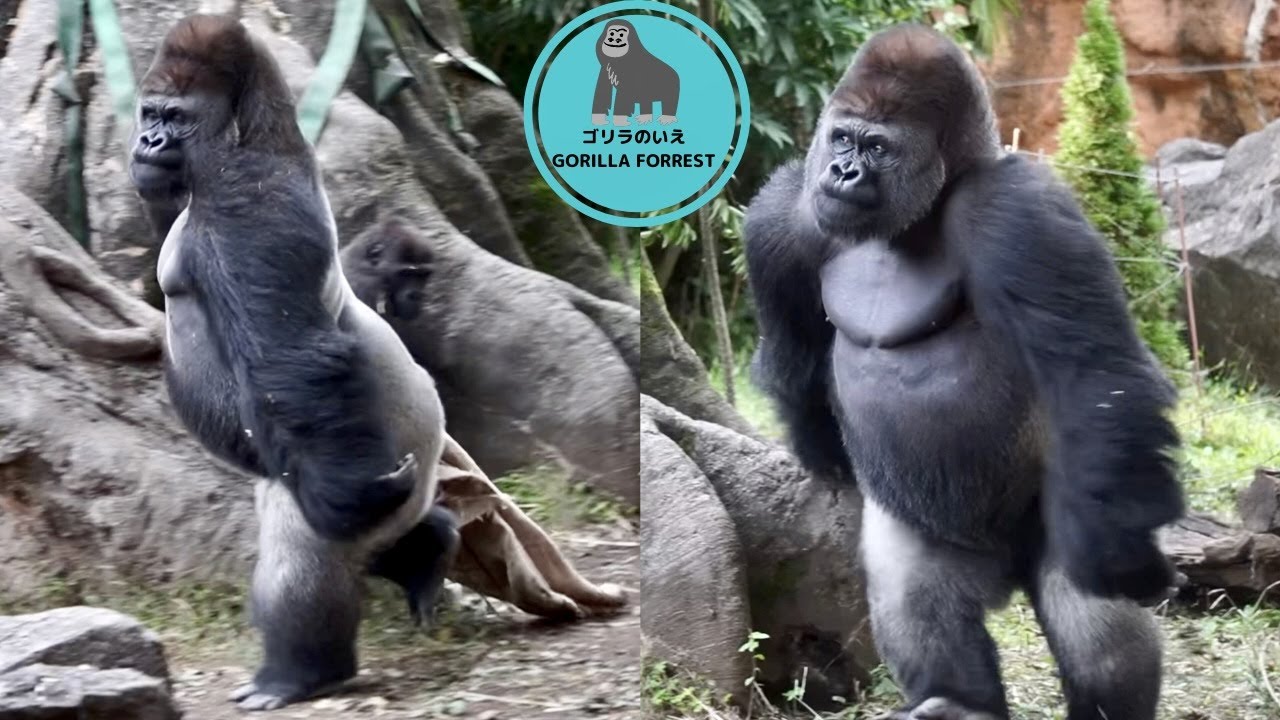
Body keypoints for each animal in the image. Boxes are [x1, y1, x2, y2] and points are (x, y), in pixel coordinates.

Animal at [743, 24, 1183, 720]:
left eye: (877, 147)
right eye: (842, 139)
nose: (843, 172)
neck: (920, 212)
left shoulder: (1016, 209)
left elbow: (1092, 373)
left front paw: (1125, 559)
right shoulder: (780, 218)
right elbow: (795, 361)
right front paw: (824, 455)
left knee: (1095, 623)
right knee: (914, 590)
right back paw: (957, 700)